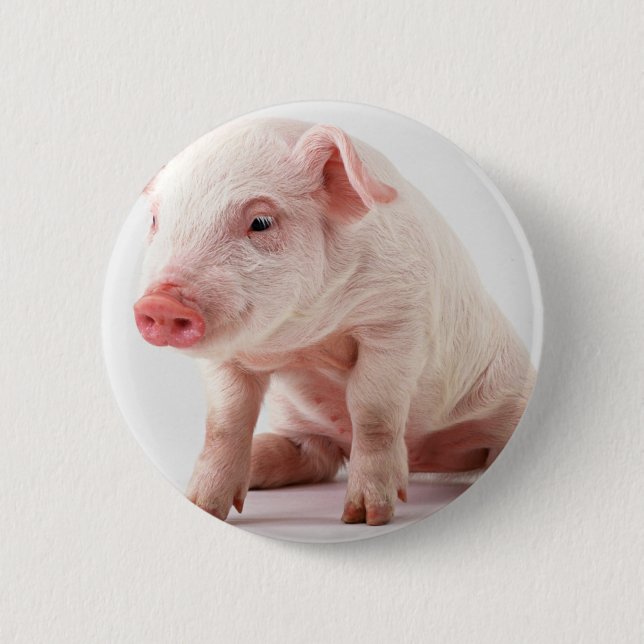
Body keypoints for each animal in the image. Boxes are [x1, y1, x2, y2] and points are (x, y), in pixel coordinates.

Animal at [133, 117, 536, 526]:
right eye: (155, 220)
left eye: (260, 222)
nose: (161, 301)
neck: (306, 339)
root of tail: (428, 460)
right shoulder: (224, 358)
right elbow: (225, 420)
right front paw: (202, 506)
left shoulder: (398, 321)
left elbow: (373, 411)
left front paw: (366, 517)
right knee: (316, 456)